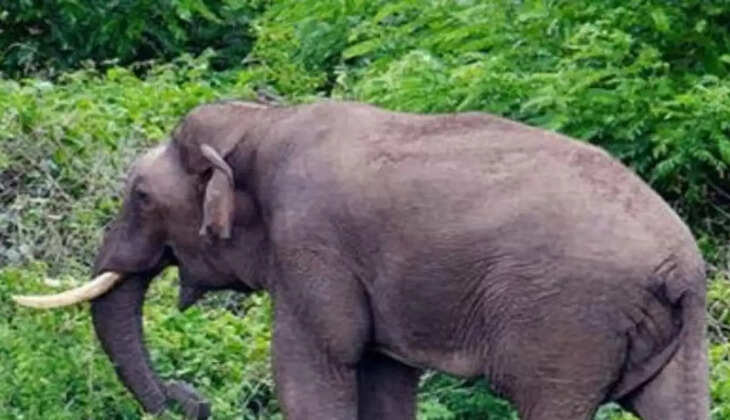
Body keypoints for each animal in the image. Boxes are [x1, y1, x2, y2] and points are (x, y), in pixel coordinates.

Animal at [14, 100, 709, 420]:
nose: (198, 400)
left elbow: (313, 372)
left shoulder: (310, 246)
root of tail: (679, 263)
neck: (262, 123)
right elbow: (382, 380)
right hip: (681, 333)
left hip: (568, 322)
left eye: (139, 196)